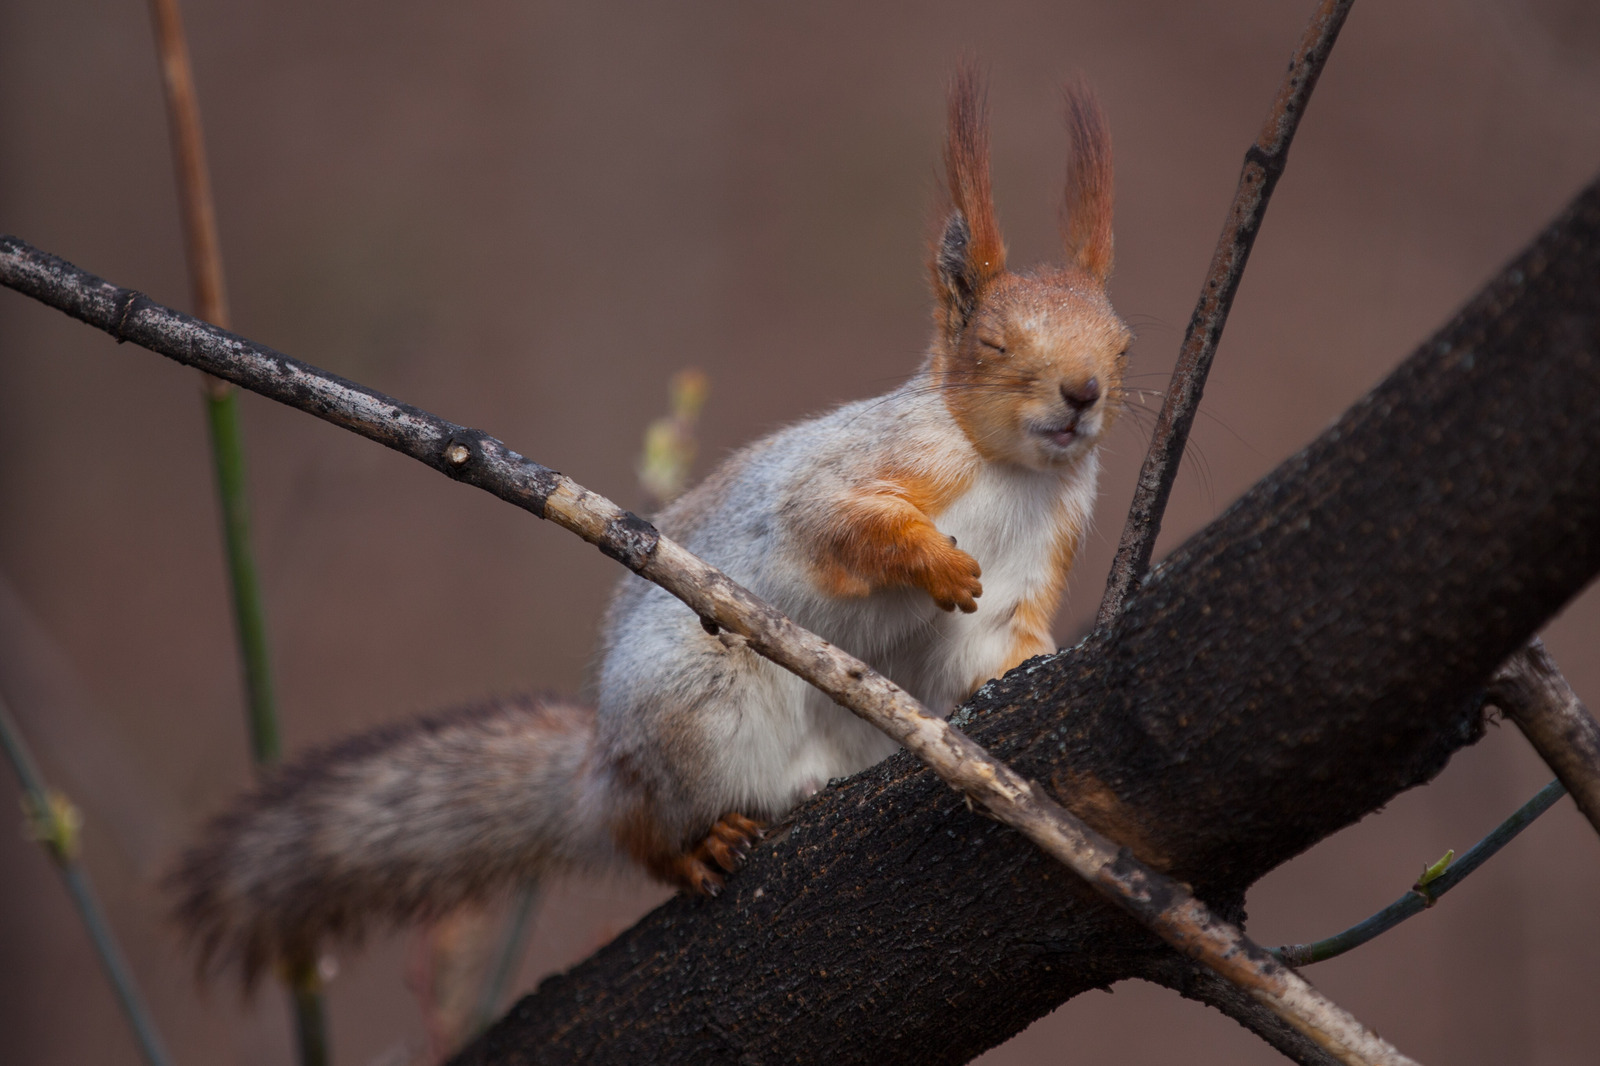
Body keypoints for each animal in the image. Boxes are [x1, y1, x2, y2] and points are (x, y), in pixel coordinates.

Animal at [168, 70, 1132, 985]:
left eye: (1123, 345)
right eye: (995, 345)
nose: (1082, 393)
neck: (1008, 468)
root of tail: (603, 771)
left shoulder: (1042, 550)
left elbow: (993, 645)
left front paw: (1027, 666)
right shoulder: (863, 463)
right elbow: (831, 522)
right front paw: (934, 563)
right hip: (694, 704)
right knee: (643, 832)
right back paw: (693, 846)